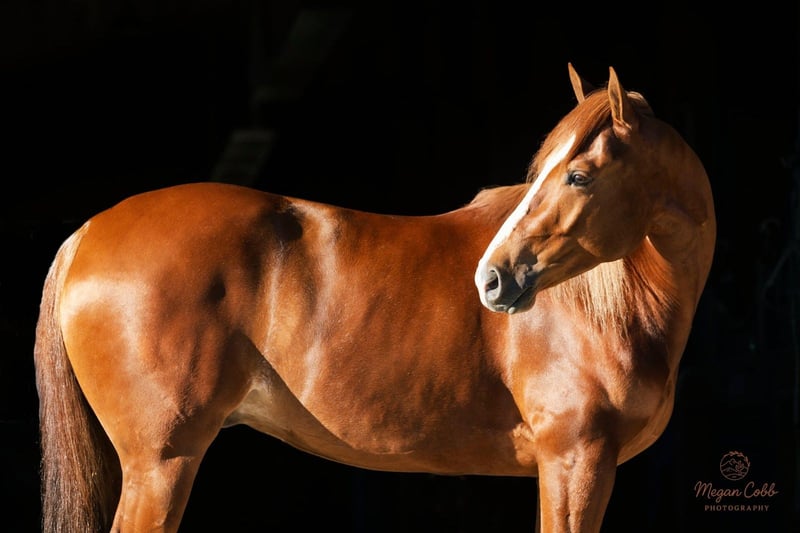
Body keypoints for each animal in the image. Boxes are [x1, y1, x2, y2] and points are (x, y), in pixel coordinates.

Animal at [34, 63, 715, 532]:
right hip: (161, 463)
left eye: (577, 176)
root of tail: (88, 232)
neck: (611, 306)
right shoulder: (575, 461)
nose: (492, 279)